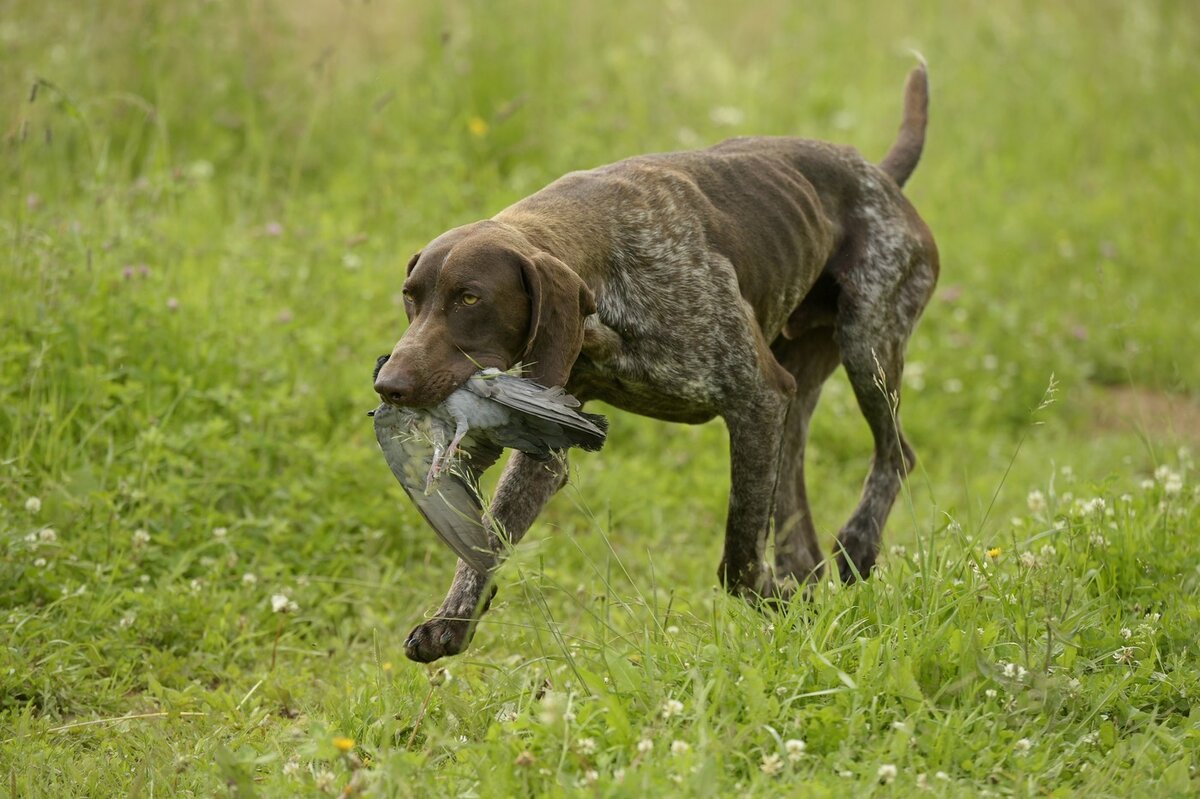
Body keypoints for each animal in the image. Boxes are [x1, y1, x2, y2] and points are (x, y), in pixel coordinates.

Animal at [374, 63, 936, 657]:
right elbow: (489, 537)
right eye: (411, 296)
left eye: (470, 298)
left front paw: (770, 603)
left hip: (867, 346)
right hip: (800, 399)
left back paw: (857, 545)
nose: (389, 385)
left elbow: (739, 553)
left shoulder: (758, 400)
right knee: (801, 525)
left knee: (896, 454)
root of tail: (880, 177)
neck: (610, 273)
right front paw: (453, 617)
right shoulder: (549, 443)